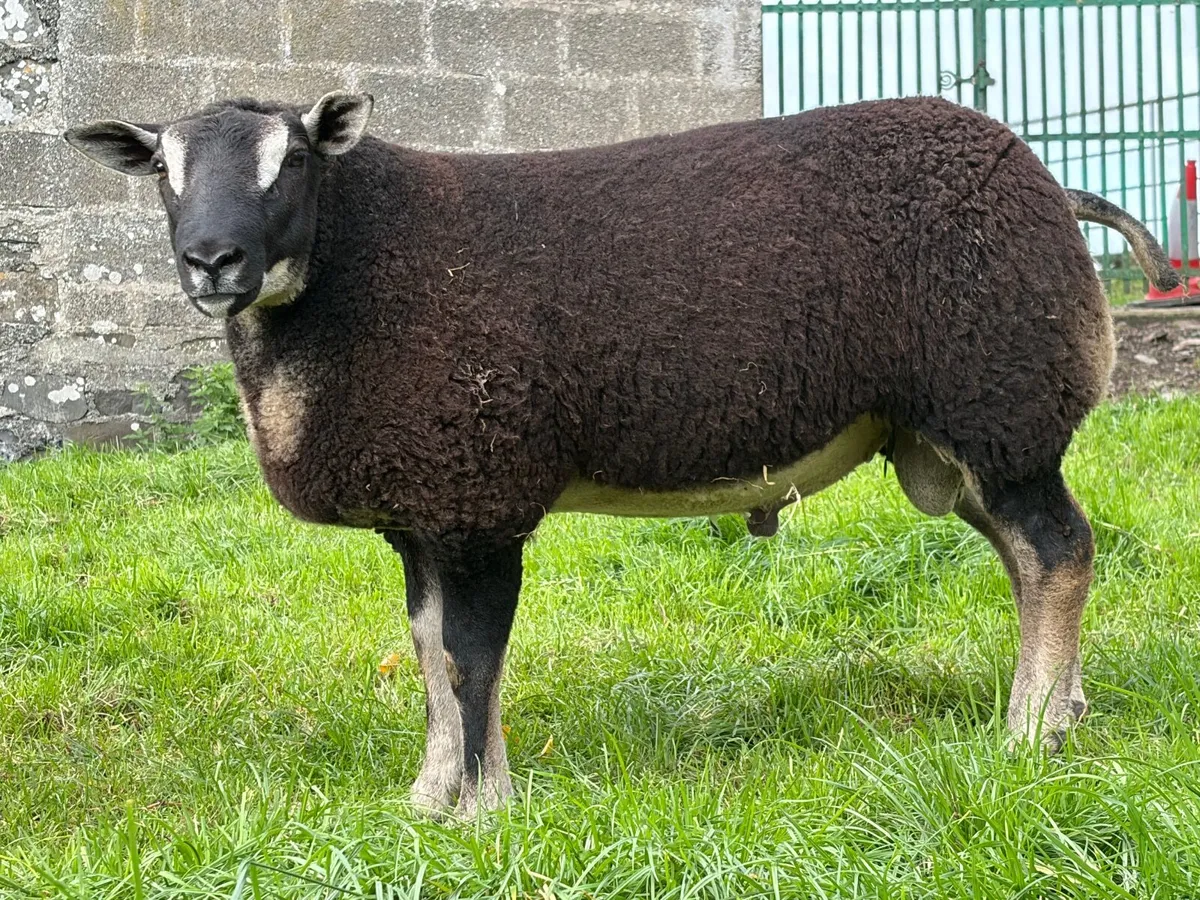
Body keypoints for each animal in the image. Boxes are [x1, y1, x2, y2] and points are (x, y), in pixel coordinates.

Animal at [65, 92, 1180, 818]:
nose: (212, 262)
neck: (355, 269)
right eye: (161, 170)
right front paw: (430, 796)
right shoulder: (426, 510)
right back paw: (1064, 709)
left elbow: (471, 657)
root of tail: (1046, 178)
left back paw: (1028, 733)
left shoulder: (483, 494)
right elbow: (430, 651)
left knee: (1060, 551)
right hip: (957, 433)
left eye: (293, 159)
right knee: (1033, 558)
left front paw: (483, 809)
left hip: (998, 399)